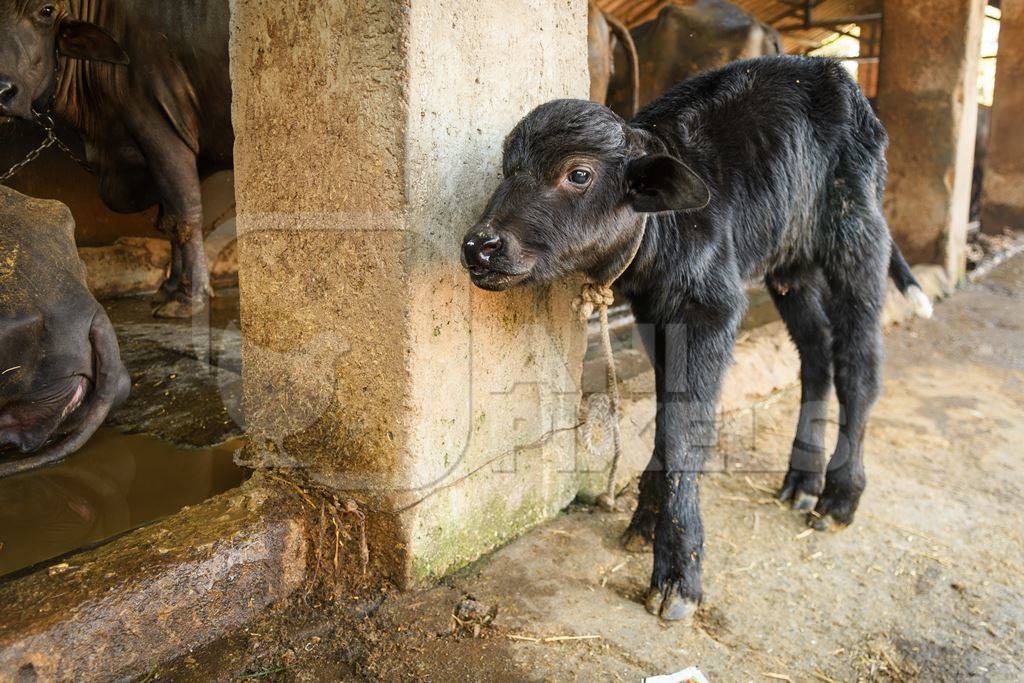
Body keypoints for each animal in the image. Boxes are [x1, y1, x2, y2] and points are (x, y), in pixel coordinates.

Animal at [0, 0, 232, 319]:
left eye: (46, 10)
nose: (1, 92)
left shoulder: (161, 128)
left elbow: (184, 215)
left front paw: (189, 297)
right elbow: (168, 219)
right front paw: (169, 288)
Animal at [460, 56, 933, 622]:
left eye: (578, 174)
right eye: (508, 170)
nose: (481, 245)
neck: (663, 230)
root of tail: (829, 70)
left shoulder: (712, 311)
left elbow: (685, 427)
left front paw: (678, 571)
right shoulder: (655, 315)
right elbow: (667, 412)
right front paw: (647, 516)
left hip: (856, 239)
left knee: (858, 363)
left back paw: (840, 496)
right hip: (790, 264)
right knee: (816, 351)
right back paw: (802, 479)